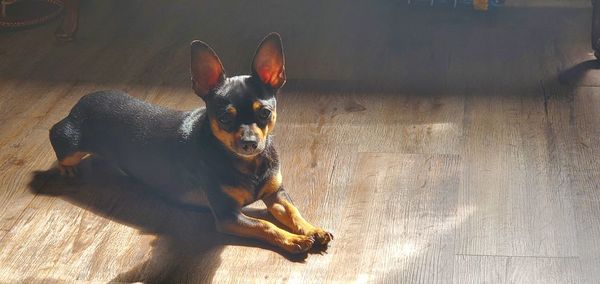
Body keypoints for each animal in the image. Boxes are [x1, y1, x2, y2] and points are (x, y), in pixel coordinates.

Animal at [49, 32, 332, 253]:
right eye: (224, 119)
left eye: (264, 113)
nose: (250, 143)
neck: (247, 163)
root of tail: (82, 100)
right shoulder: (227, 215)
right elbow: (265, 224)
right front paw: (294, 240)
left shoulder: (276, 194)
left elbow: (294, 212)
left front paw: (312, 230)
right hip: (71, 141)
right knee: (56, 137)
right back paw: (66, 167)